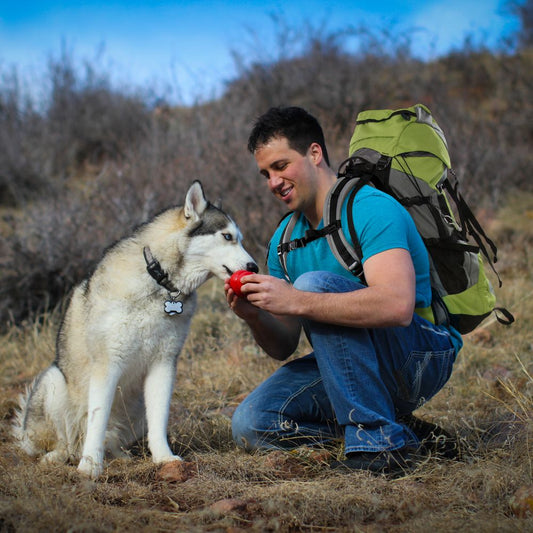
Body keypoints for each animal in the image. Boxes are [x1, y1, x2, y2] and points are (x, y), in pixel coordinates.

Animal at [10, 181, 256, 476]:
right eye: (227, 236)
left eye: (239, 238)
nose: (254, 266)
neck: (160, 282)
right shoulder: (108, 364)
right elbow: (97, 418)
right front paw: (90, 466)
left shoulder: (164, 363)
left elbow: (159, 419)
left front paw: (164, 458)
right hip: (54, 383)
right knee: (68, 442)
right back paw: (60, 456)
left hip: (137, 405)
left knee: (113, 439)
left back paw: (120, 456)